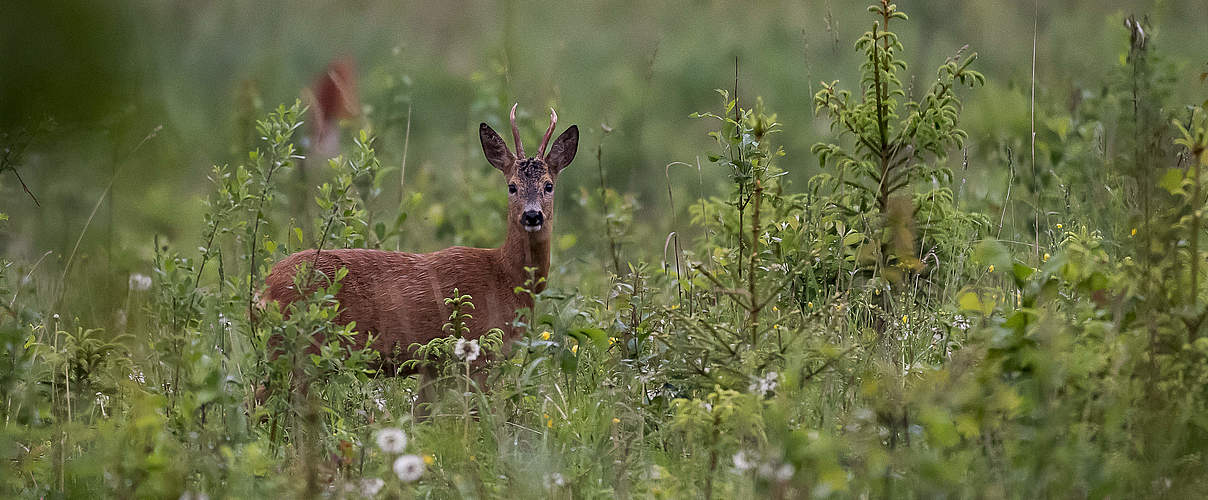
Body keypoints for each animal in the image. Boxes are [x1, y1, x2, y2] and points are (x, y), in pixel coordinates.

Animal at [258, 105, 575, 403]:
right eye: (512, 186)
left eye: (548, 185)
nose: (532, 215)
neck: (505, 277)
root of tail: (264, 287)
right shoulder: (477, 352)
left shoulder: (432, 365)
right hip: (300, 348)